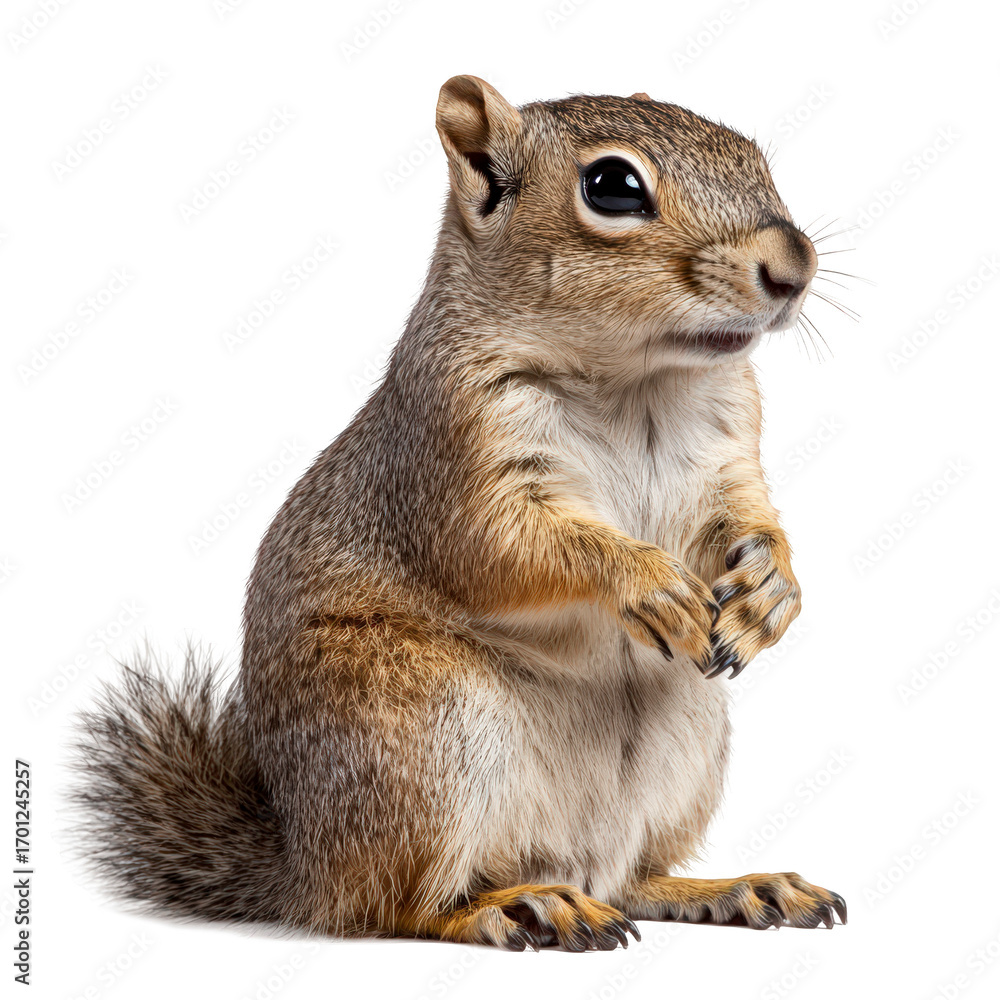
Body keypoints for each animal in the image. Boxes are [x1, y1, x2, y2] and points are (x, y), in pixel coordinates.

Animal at [72, 76, 846, 950]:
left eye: (752, 154)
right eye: (613, 187)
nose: (793, 265)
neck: (640, 380)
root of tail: (306, 863)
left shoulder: (727, 462)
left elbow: (747, 523)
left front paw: (773, 593)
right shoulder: (451, 455)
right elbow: (502, 549)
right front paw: (645, 581)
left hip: (685, 745)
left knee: (632, 878)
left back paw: (733, 887)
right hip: (421, 736)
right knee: (393, 905)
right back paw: (515, 906)